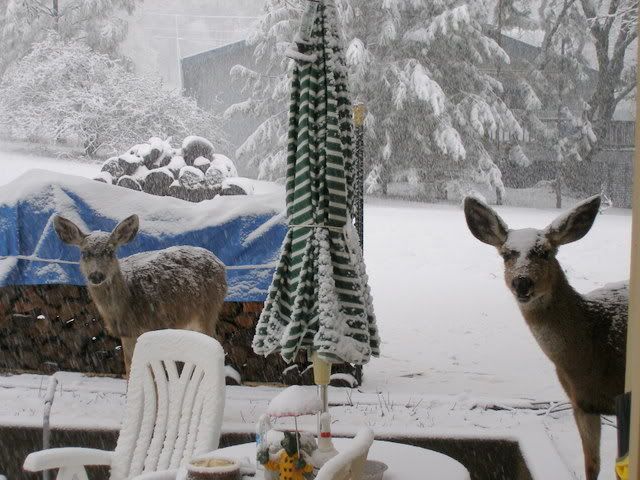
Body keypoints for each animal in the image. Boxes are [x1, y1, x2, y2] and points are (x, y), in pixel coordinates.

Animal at [53, 214, 228, 376]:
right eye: (84, 253)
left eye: (110, 251)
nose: (96, 276)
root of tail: (220, 263)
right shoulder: (126, 333)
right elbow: (129, 368)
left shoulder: (150, 326)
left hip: (209, 308)